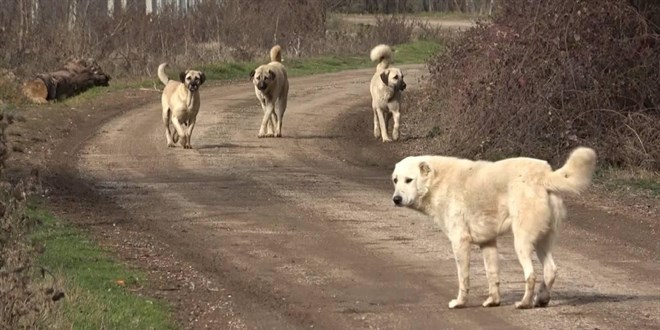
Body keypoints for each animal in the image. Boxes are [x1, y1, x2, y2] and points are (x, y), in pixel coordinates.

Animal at [392, 148, 600, 308]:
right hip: (542, 241)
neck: (437, 181)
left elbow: (463, 278)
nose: (396, 199)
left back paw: (524, 303)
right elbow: (492, 275)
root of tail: (544, 174)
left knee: (531, 275)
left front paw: (460, 303)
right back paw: (541, 299)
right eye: (395, 180)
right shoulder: (488, 242)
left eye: (409, 180)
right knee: (550, 270)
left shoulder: (460, 242)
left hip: (522, 243)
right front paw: (493, 301)